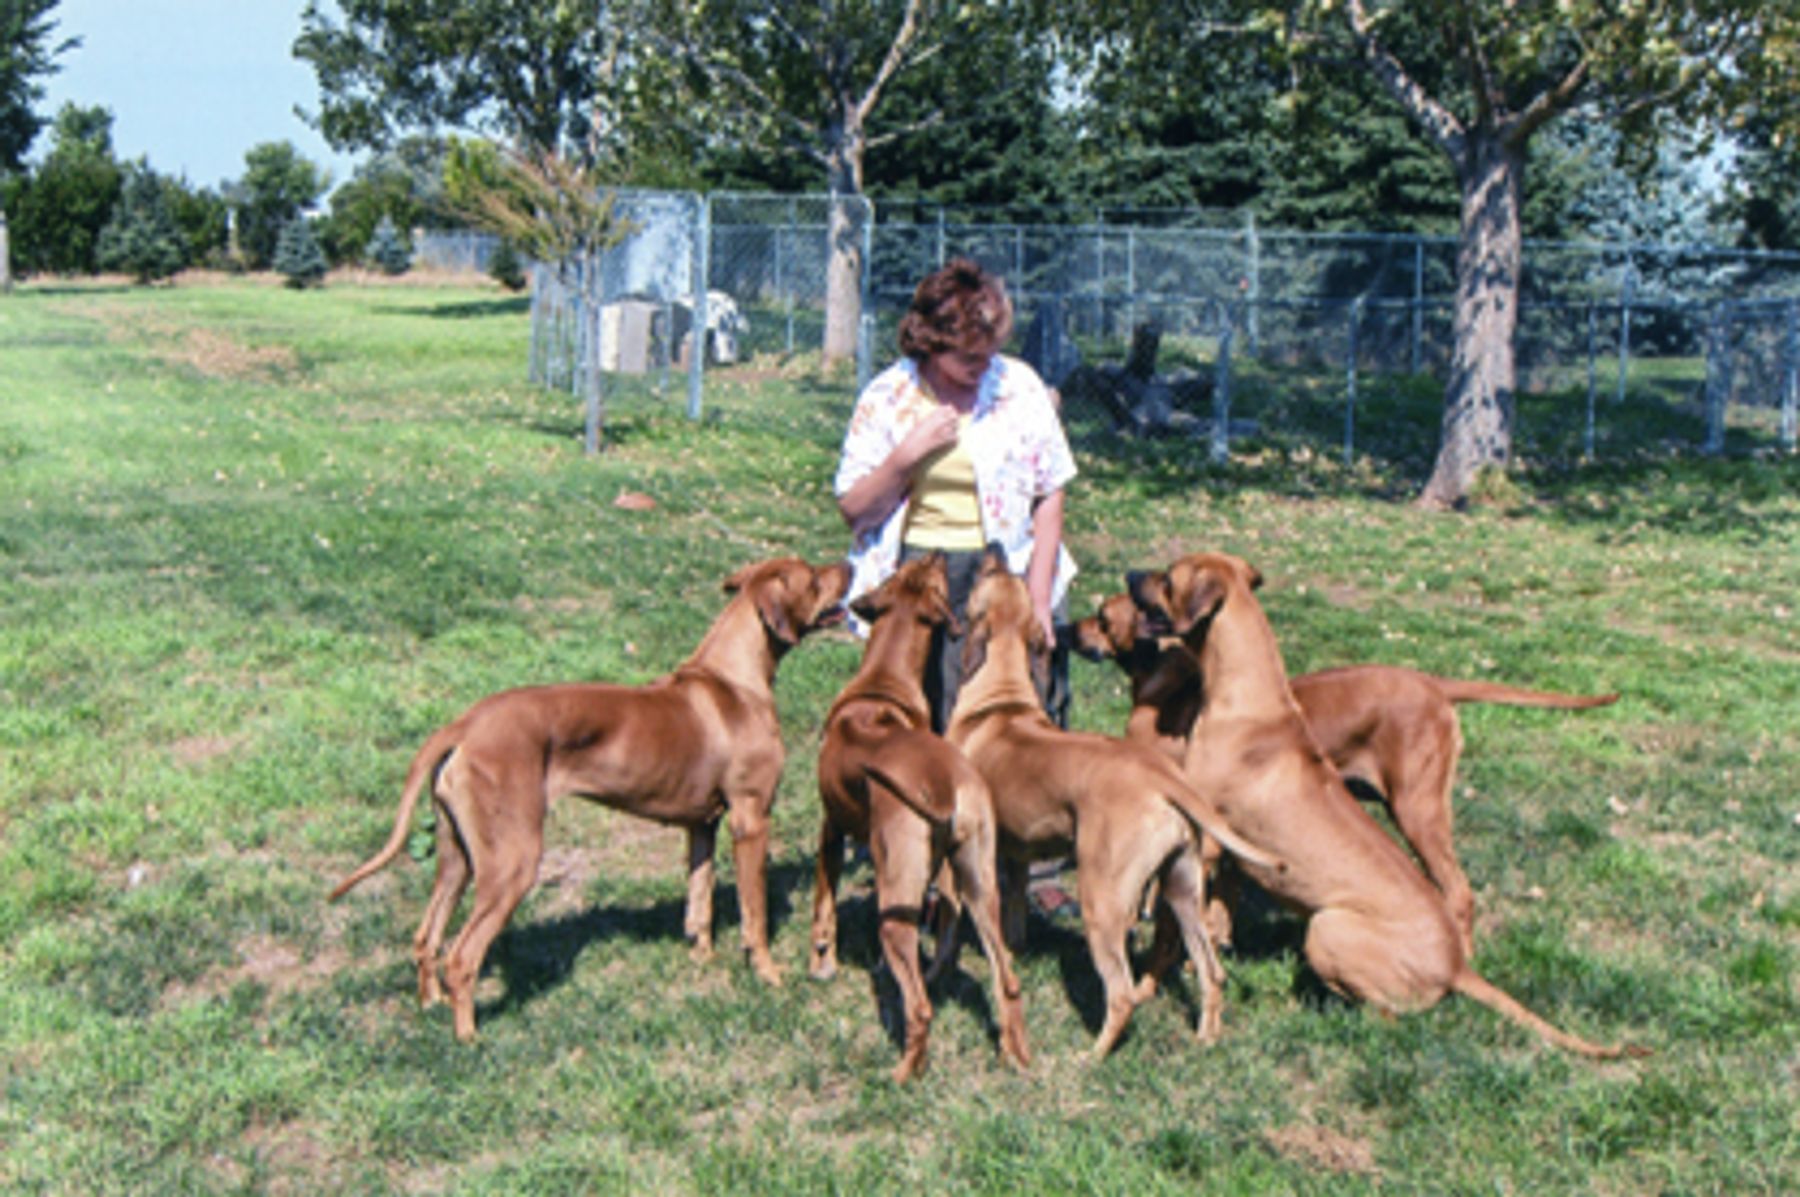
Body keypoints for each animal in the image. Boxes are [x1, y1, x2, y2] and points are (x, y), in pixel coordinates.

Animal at [813, 554, 1029, 1080]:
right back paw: (1016, 1055)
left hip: (896, 907)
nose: (935, 553)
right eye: (912, 567)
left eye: (930, 574)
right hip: (980, 887)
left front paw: (821, 960)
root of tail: (947, 786)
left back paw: (903, 1073)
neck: (882, 685)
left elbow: (823, 898)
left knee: (920, 1006)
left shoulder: (830, 827)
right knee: (1008, 979)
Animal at [950, 543, 1274, 1058]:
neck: (1000, 694)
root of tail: (1162, 778)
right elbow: (1014, 912)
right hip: (1183, 887)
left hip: (1101, 901)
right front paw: (1015, 949)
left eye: (991, 572)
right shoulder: (1016, 850)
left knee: (1121, 994)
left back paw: (1093, 1056)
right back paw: (1206, 1035)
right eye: (1009, 573)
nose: (995, 547)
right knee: (1211, 970)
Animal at [1130, 550, 1648, 1058]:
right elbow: (1217, 915)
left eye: (1167, 576)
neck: (1250, 701)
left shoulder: (1203, 837)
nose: (1131, 572)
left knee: (1390, 1013)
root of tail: (1456, 967)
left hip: (1335, 918)